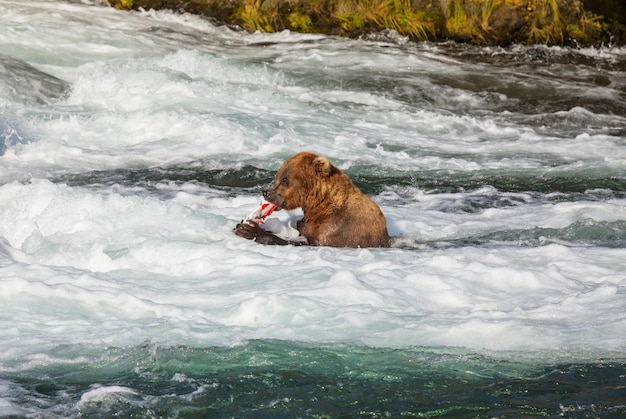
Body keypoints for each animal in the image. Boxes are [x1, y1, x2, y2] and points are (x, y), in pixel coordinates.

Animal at [234, 152, 390, 248]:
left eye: (285, 179)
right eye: (277, 176)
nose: (266, 192)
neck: (320, 204)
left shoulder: (338, 227)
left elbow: (311, 242)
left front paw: (249, 230)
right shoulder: (306, 223)